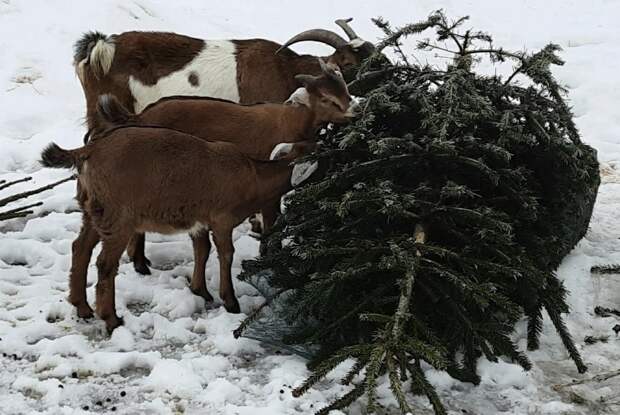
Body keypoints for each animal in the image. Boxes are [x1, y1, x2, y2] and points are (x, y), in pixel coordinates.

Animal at [41, 128, 318, 334]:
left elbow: (202, 250)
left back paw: (83, 308)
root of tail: (89, 151)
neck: (253, 177)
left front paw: (200, 290)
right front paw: (230, 301)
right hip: (118, 214)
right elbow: (226, 253)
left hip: (93, 210)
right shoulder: (222, 218)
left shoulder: (199, 220)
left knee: (80, 248)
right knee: (105, 264)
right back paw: (111, 319)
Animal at [94, 57, 354, 274]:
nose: (356, 110)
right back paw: (140, 264)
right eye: (326, 98)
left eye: (345, 91)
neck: (292, 120)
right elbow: (272, 224)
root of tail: (139, 117)